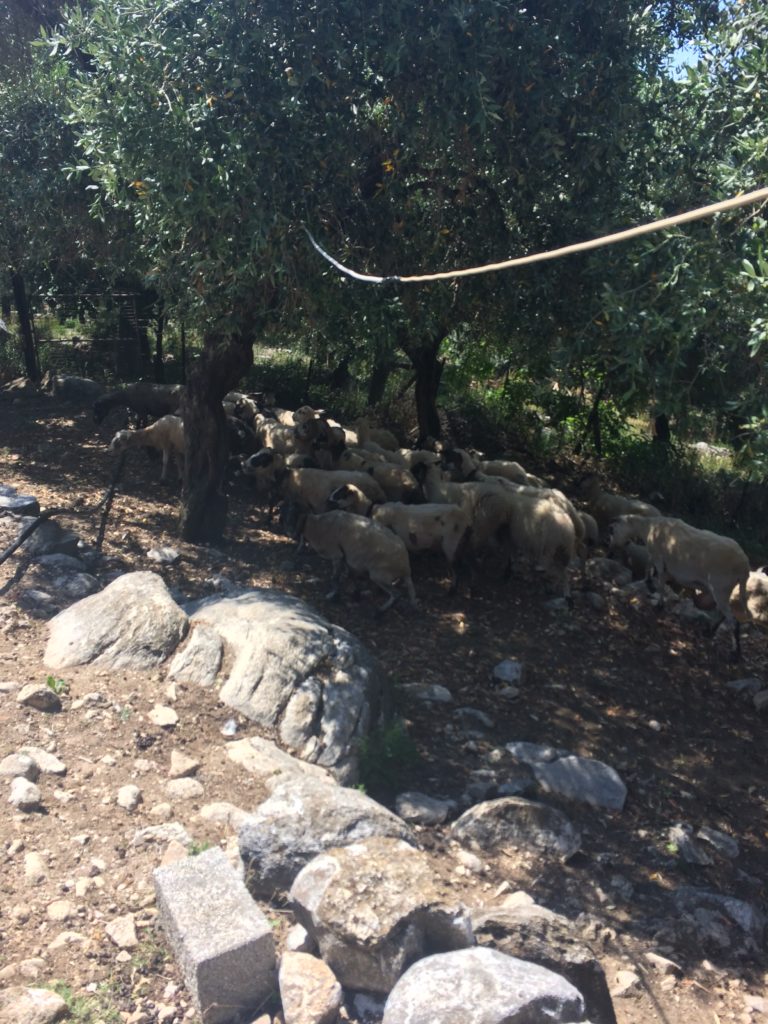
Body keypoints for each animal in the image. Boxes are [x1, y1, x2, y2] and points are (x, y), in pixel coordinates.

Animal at [610, 512, 749, 655]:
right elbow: (649, 564)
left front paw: (659, 604)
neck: (648, 527)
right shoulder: (656, 558)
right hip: (723, 590)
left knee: (732, 620)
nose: (611, 549)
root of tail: (744, 565)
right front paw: (648, 581)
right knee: (721, 614)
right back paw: (709, 632)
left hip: (720, 588)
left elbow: (660, 582)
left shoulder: (659, 560)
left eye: (612, 529)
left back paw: (735, 652)